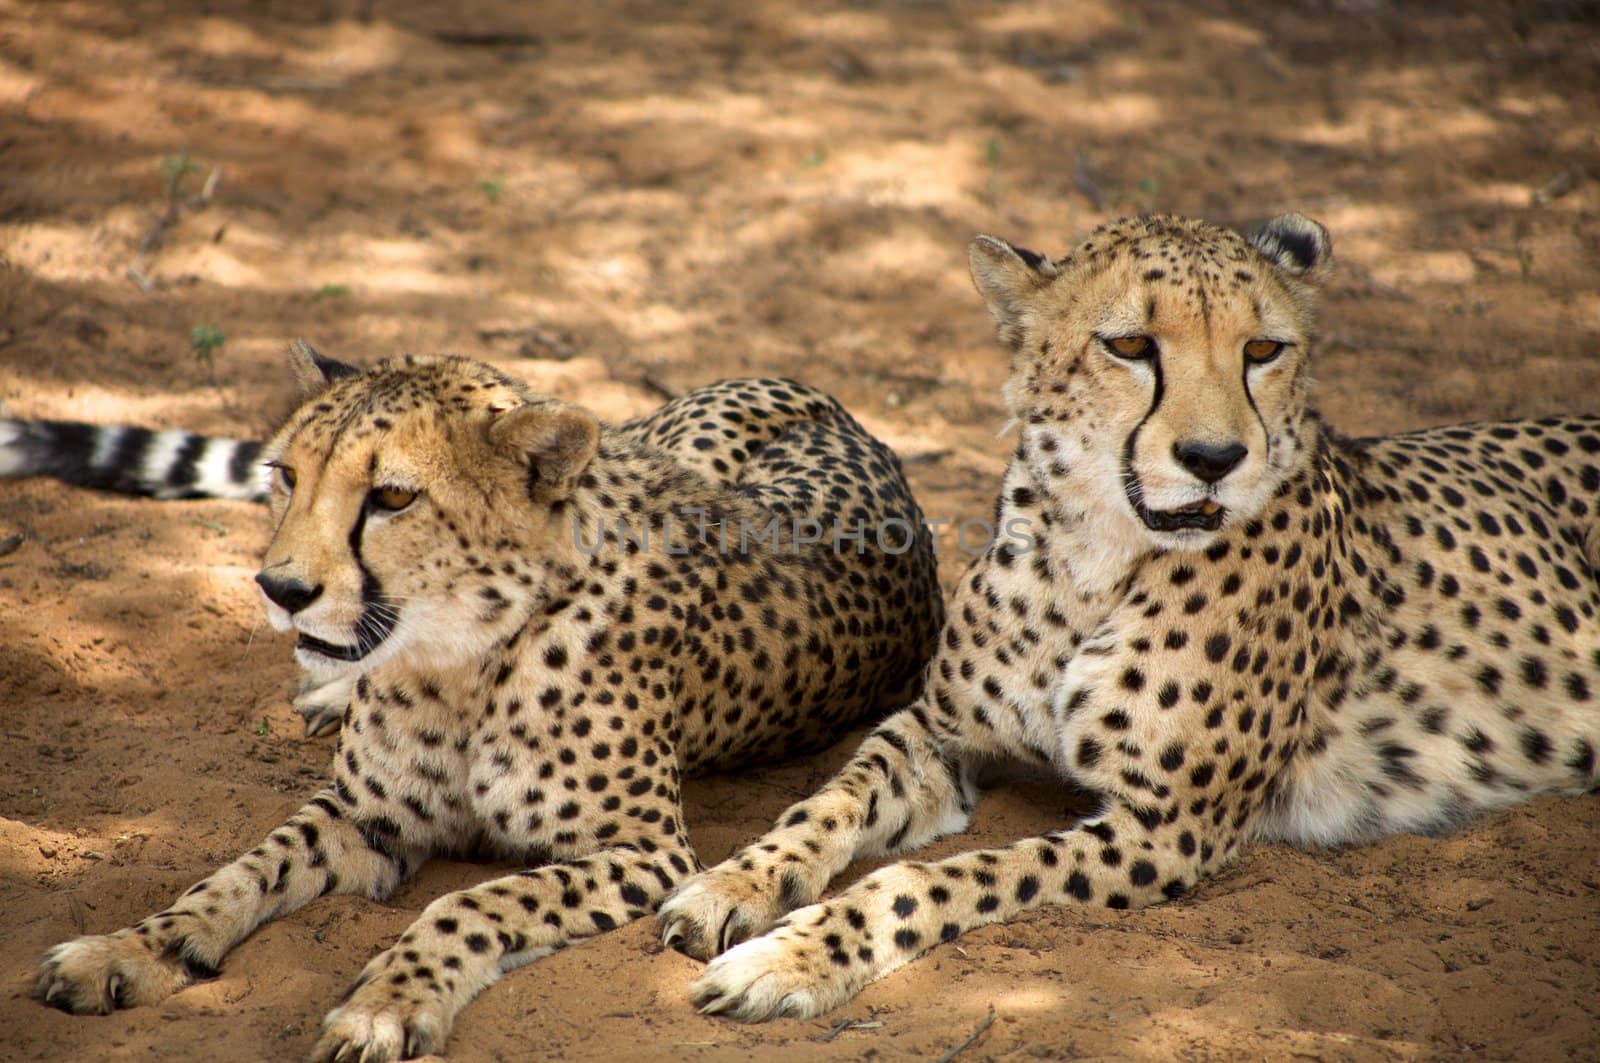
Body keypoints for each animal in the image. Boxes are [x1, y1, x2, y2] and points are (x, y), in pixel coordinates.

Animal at [25, 344, 934, 1056]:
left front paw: (383, 1005)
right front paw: (128, 949)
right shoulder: (365, 812)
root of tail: (840, 410)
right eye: (287, 477)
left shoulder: (649, 852)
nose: (281, 589)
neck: (459, 657)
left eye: (393, 496)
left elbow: (468, 900)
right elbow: (243, 867)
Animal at [652, 214, 1600, 1024]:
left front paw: (796, 956)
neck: (1092, 561)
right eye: (1132, 346)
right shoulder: (938, 731)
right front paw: (734, 882)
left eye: (1263, 349)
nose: (1215, 458)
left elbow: (938, 878)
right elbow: (828, 798)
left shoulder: (1169, 826)